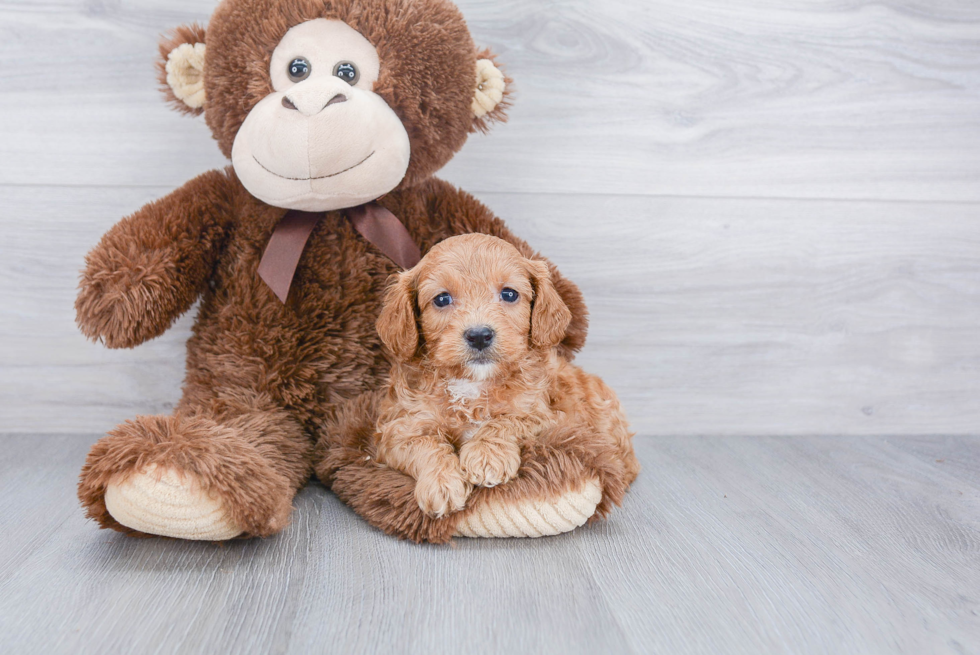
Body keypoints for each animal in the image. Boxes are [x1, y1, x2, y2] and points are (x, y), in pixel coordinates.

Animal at [376, 234, 636, 516]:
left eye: (509, 294)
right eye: (442, 299)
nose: (479, 335)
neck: (473, 383)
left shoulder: (545, 416)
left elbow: (507, 421)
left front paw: (487, 456)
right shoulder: (399, 428)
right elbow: (424, 444)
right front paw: (441, 483)